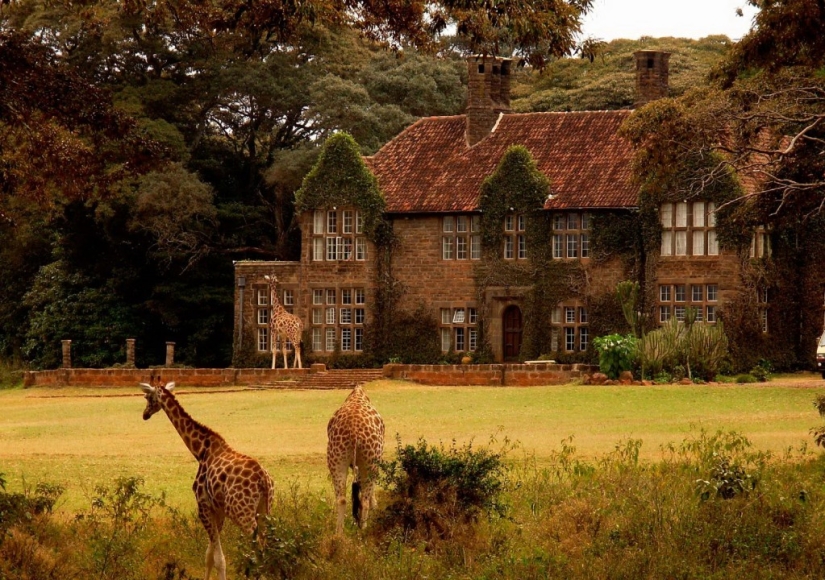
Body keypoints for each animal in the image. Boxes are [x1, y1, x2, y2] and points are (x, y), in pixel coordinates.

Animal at [138, 377, 274, 580]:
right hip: (265, 510)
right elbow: (209, 555)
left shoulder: (203, 506)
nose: (145, 414)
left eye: (148, 397)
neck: (200, 450)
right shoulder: (218, 510)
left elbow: (218, 559)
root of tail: (263, 480)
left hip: (243, 513)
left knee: (258, 550)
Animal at [326, 383, 385, 534]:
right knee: (364, 500)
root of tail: (354, 432)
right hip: (370, 460)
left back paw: (338, 533)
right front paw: (375, 505)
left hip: (336, 458)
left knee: (341, 499)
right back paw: (363, 529)